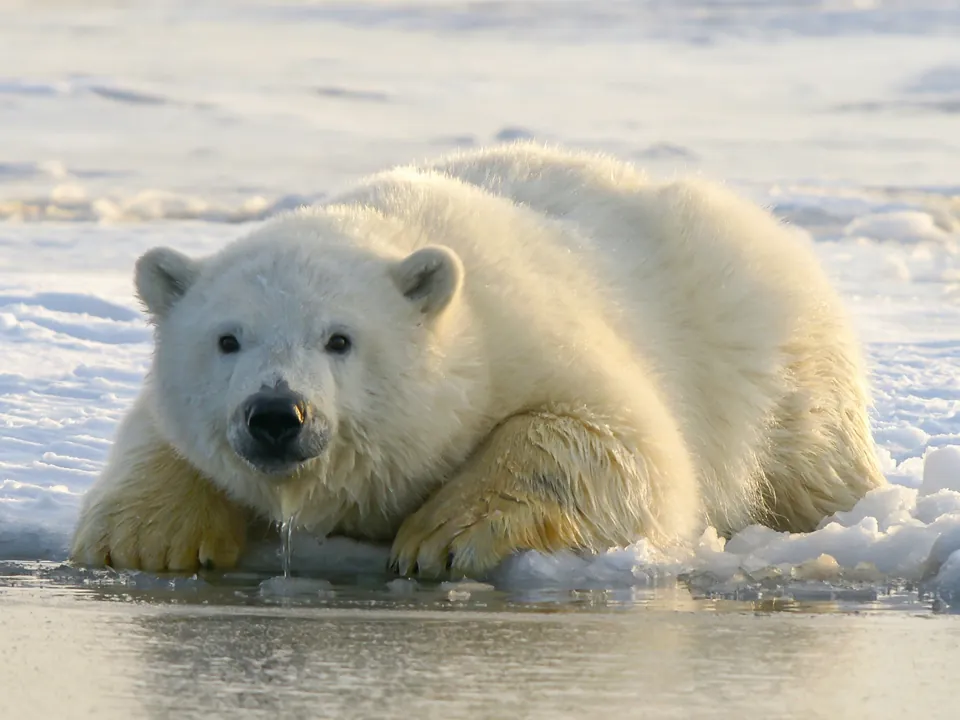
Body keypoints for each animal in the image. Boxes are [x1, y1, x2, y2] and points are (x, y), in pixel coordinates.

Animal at [70, 143, 885, 578]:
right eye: (227, 339)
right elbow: (154, 433)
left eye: (340, 338)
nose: (277, 415)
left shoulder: (530, 336)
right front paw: (146, 539)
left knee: (811, 457)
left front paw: (442, 538)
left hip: (772, 356)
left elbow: (619, 443)